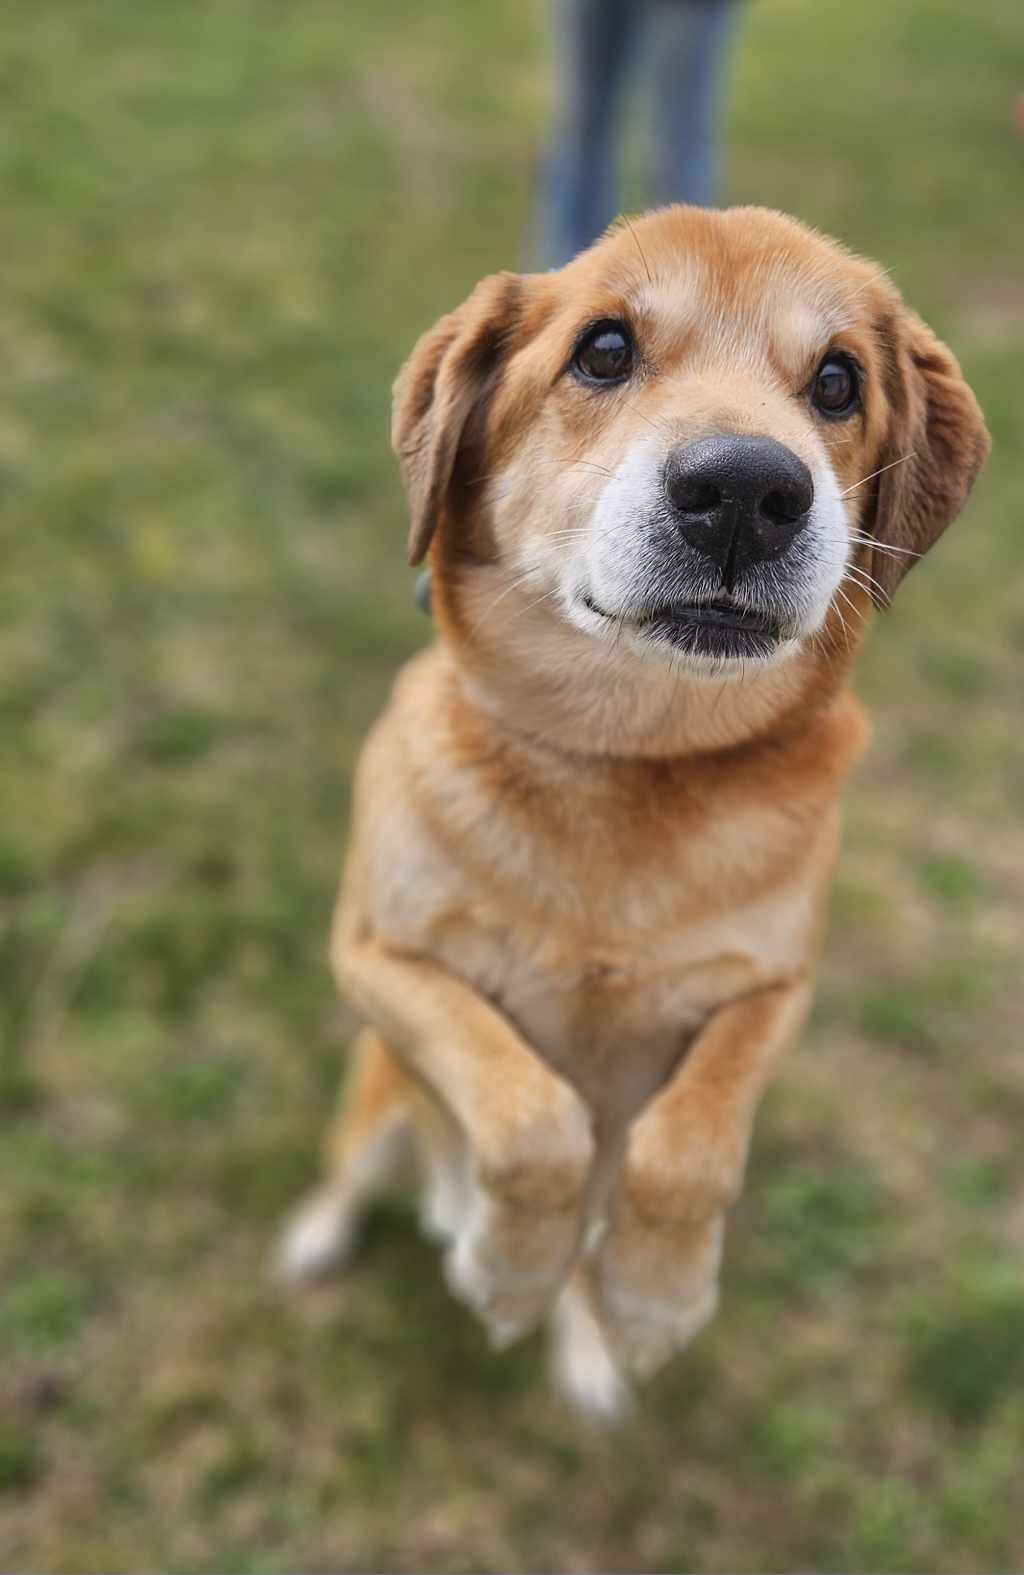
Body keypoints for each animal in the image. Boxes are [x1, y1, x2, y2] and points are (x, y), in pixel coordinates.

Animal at [275, 203, 983, 1423]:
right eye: (603, 350)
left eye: (838, 381)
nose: (748, 489)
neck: (627, 760)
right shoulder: (378, 958)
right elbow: (529, 1111)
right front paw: (505, 1272)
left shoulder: (773, 991)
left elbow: (687, 1144)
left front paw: (651, 1302)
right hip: (378, 1092)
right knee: (359, 1161)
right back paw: (335, 1236)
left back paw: (585, 1341)